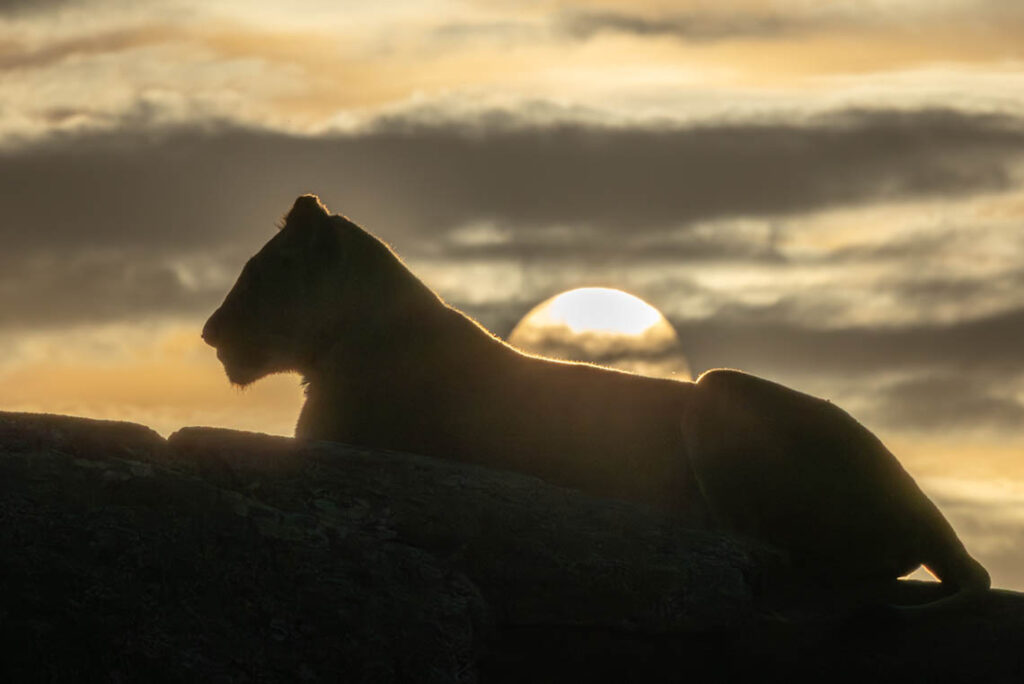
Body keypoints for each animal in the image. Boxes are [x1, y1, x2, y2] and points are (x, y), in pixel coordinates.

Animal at [203, 194, 989, 603]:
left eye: (261, 270)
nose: (208, 332)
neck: (350, 332)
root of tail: (928, 512)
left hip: (718, 392)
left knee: (770, 549)